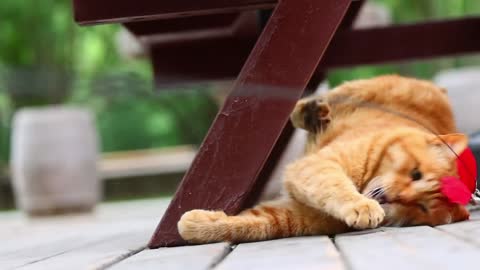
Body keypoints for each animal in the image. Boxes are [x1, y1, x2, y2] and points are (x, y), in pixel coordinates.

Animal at [176, 75, 468, 244]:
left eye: (422, 208)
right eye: (415, 173)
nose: (398, 197)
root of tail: (440, 89)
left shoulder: (293, 215)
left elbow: (249, 224)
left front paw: (194, 226)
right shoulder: (319, 166)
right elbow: (336, 186)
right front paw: (362, 207)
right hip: (356, 90)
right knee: (312, 102)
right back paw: (314, 112)